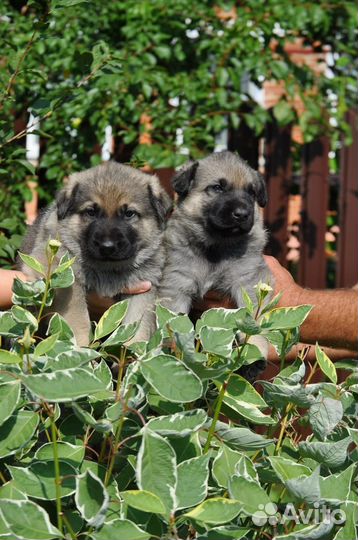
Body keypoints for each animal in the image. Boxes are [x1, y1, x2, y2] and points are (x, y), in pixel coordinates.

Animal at [21, 161, 172, 346]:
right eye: (91, 212)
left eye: (129, 214)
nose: (107, 246)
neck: (107, 268)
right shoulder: (65, 278)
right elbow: (79, 320)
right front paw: (81, 349)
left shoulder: (143, 288)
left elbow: (137, 325)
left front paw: (134, 352)